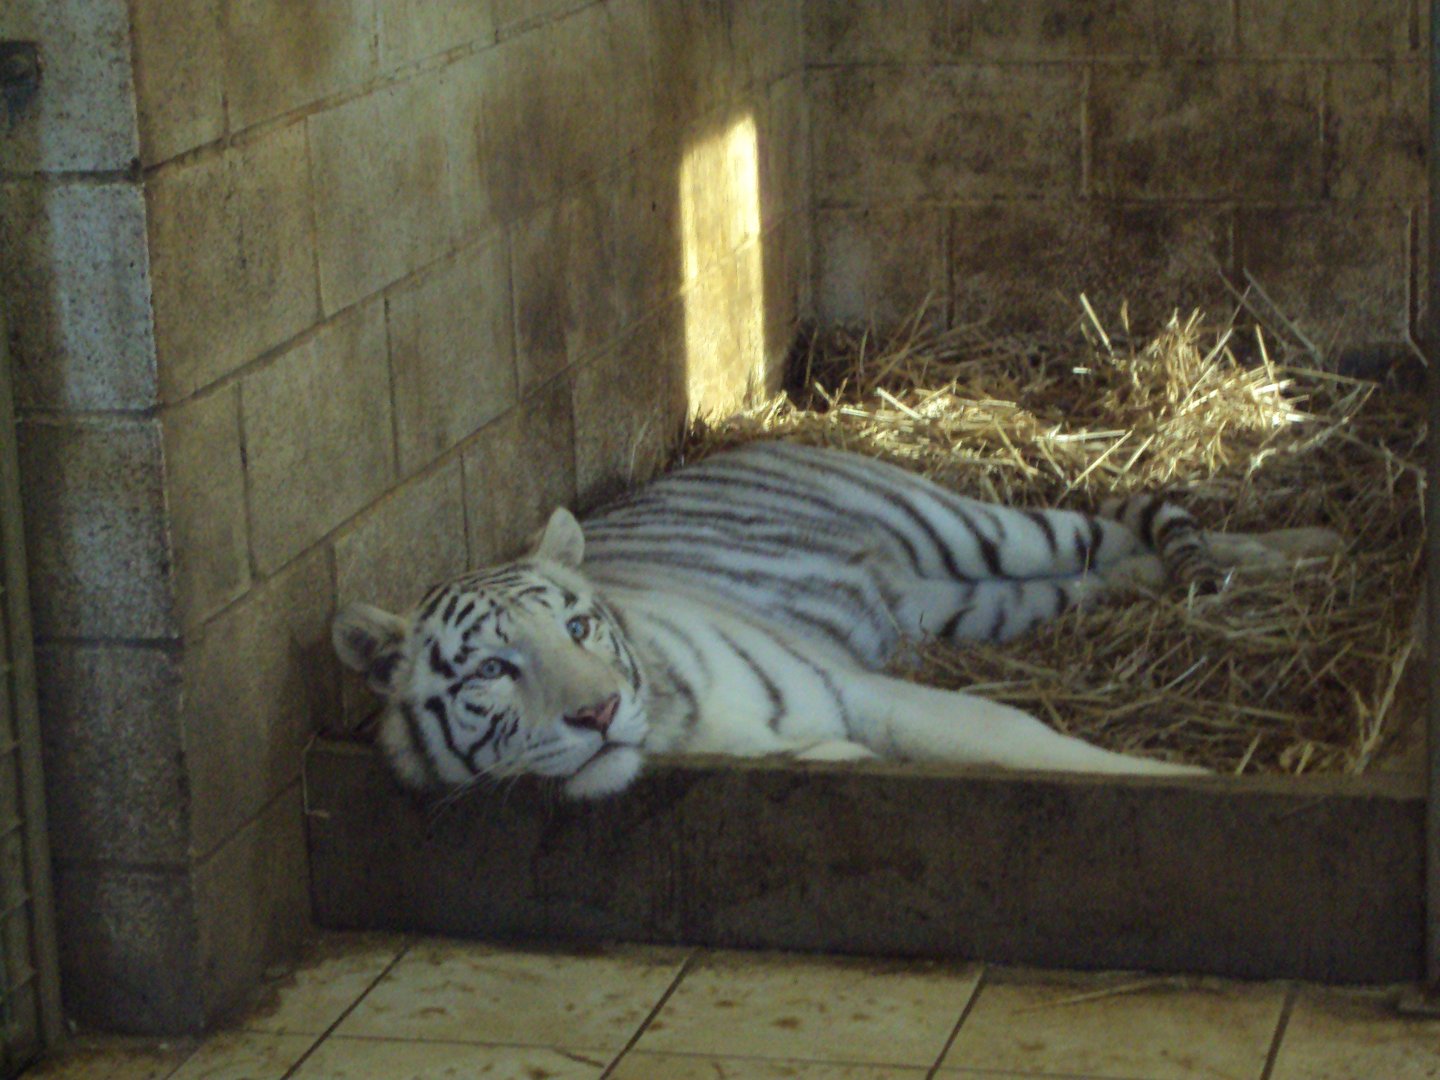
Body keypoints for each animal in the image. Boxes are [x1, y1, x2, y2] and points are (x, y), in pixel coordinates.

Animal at [332, 440, 1340, 798]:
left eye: (577, 629)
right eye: (492, 670)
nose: (599, 712)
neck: (679, 726)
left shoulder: (866, 691)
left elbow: (1027, 741)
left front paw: (1180, 776)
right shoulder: (828, 738)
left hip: (976, 531)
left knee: (1113, 522)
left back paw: (1311, 544)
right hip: (976, 606)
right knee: (1119, 564)